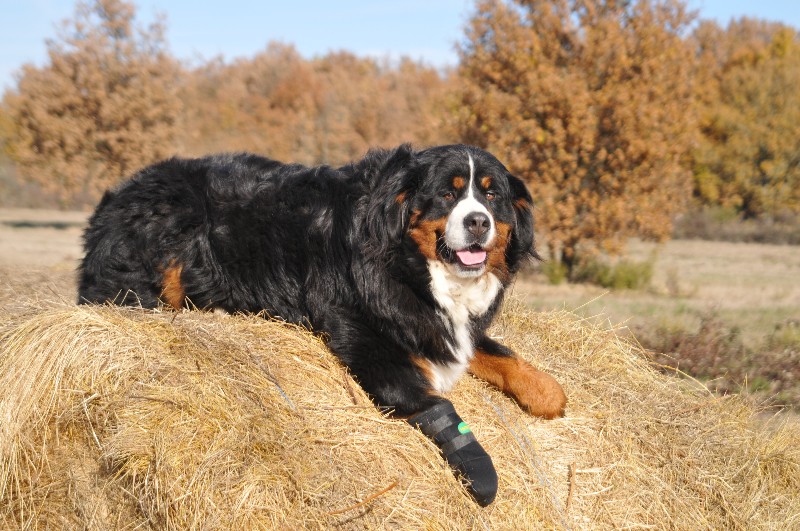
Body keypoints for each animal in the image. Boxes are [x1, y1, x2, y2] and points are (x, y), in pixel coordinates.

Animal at [79, 144, 568, 508]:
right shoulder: (363, 335)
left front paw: (547, 392)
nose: (478, 221)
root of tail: (118, 195)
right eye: (447, 196)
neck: (408, 262)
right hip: (167, 231)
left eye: (491, 196)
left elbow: (495, 350)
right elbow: (432, 401)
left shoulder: (434, 322)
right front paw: (480, 467)